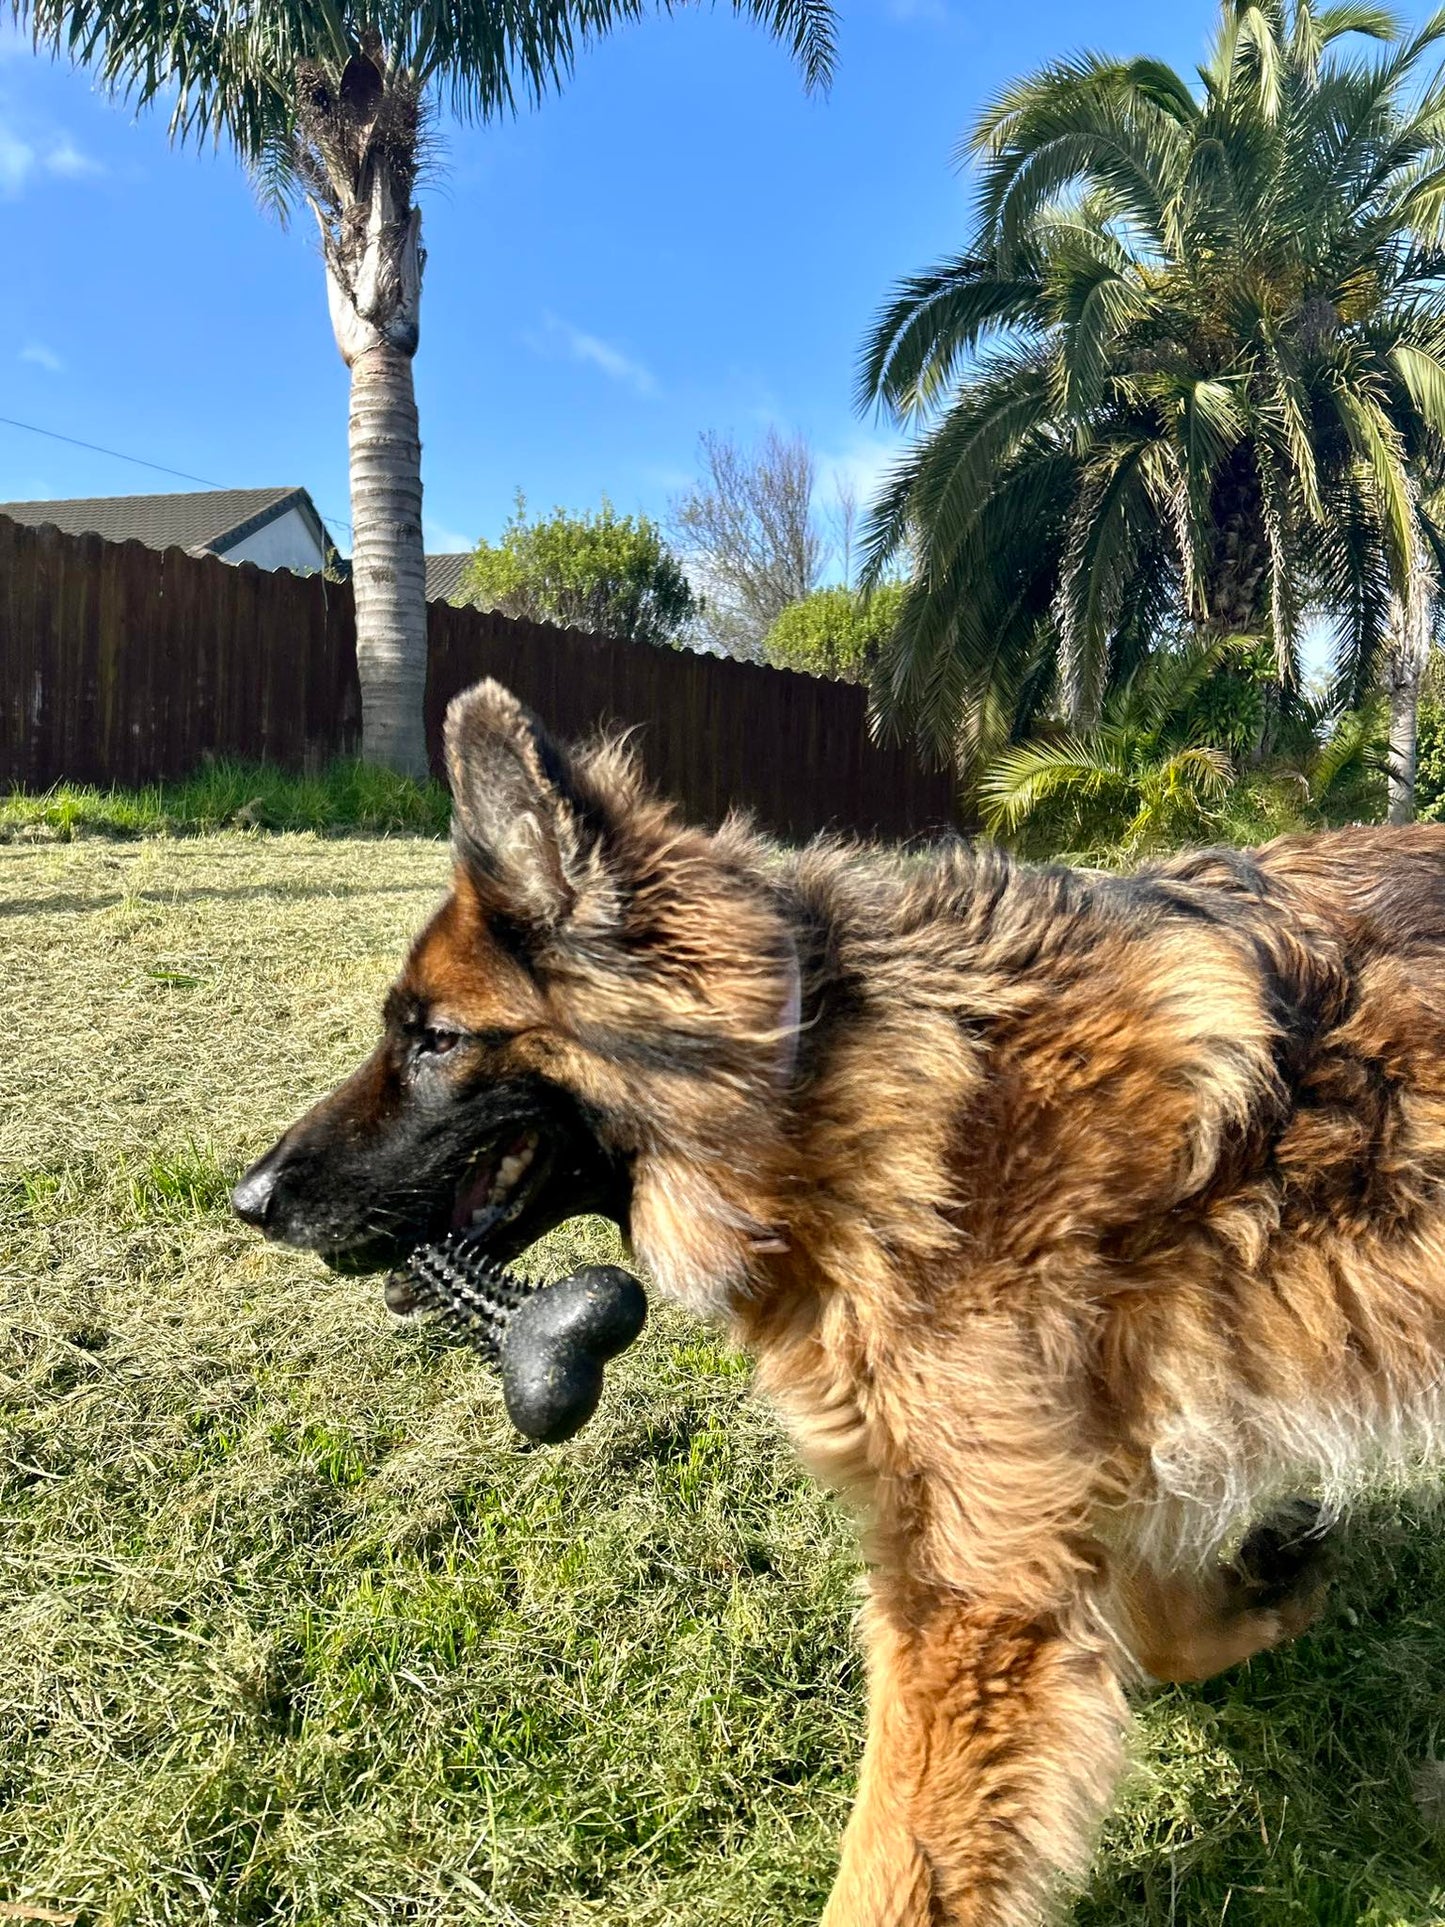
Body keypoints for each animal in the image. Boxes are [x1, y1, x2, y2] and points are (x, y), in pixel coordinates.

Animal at [235, 678, 1445, 1911]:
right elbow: (1147, 1613)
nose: (248, 1199)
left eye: (435, 1039)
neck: (817, 1078)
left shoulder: (968, 1588)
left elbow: (894, 1869)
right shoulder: (1067, 1486)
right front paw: (1266, 1585)